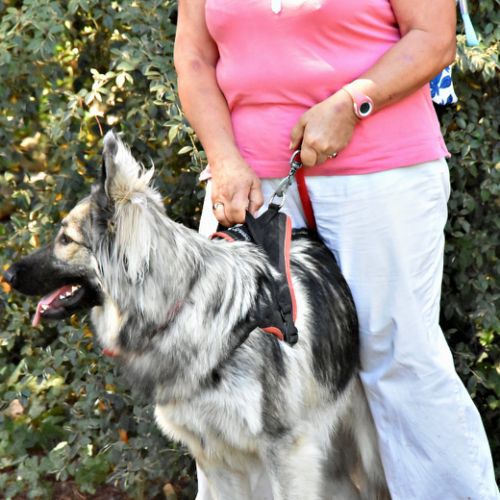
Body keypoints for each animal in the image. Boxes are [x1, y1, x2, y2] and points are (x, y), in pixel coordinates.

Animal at [5, 131, 388, 499]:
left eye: (66, 239)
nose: (6, 275)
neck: (181, 305)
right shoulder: (215, 456)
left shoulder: (285, 451)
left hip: (368, 449)